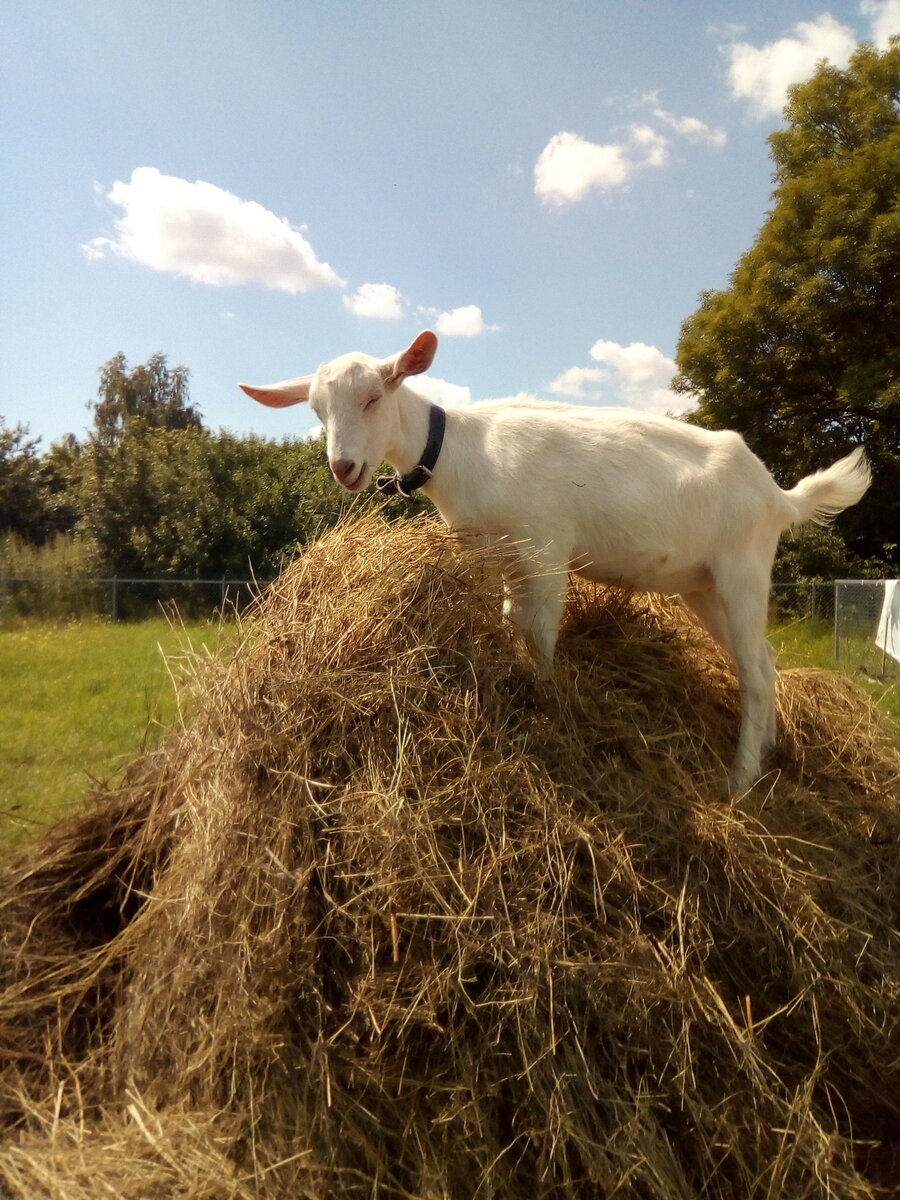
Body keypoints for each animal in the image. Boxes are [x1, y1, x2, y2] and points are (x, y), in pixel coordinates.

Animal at [241, 333, 873, 792]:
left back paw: (738, 782)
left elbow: (542, 632)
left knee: (757, 673)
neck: (462, 452)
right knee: (763, 661)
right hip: (705, 586)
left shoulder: (544, 545)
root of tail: (778, 496)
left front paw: (545, 702)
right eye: (316, 411)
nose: (344, 468)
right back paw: (766, 753)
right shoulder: (497, 553)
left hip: (743, 568)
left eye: (375, 396)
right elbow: (508, 623)